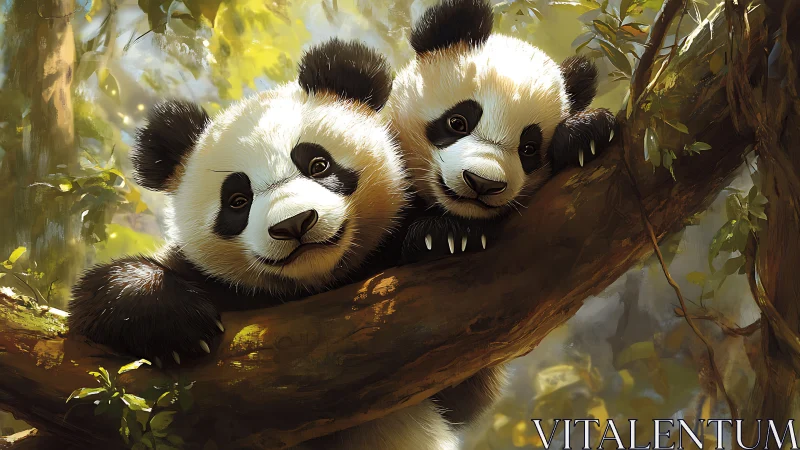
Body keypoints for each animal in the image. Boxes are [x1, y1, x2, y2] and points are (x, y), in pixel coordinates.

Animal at [68, 38, 458, 450]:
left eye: (318, 165)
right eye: (237, 200)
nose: (294, 223)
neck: (315, 283)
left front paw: (442, 236)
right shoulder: (210, 279)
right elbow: (90, 306)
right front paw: (181, 327)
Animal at [384, 0, 617, 438]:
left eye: (529, 148)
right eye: (458, 121)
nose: (482, 183)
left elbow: (462, 396)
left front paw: (585, 132)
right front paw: (440, 238)